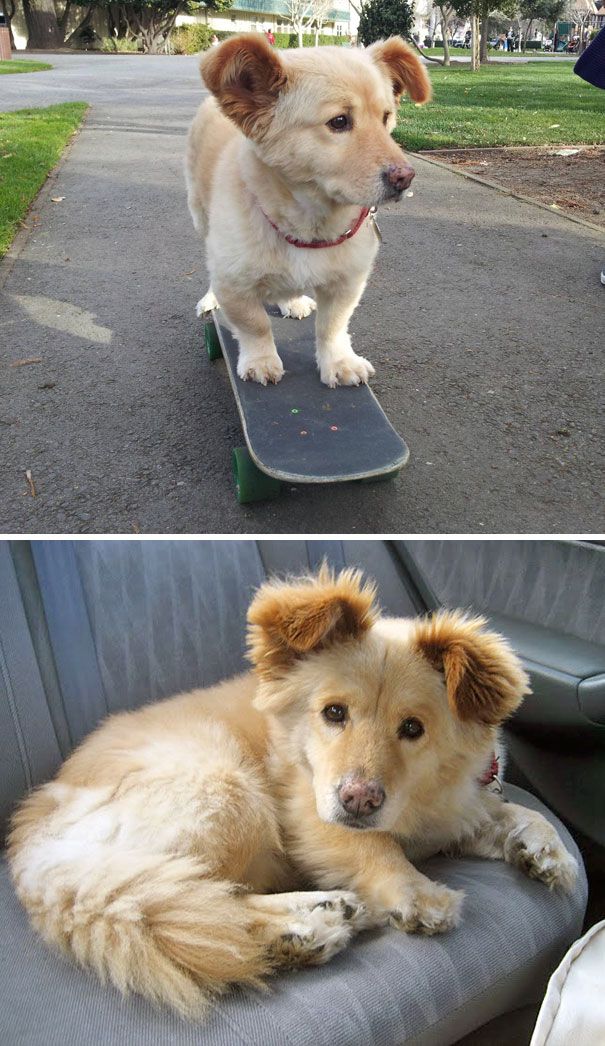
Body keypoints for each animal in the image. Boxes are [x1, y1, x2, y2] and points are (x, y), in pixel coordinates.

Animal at [8, 569, 573, 1016]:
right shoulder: (310, 812)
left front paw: (544, 849)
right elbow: (373, 847)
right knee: (194, 902)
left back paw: (316, 917)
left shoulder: (459, 808)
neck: (416, 800)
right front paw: (417, 893)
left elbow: (514, 813)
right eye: (334, 713)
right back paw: (304, 929)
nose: (359, 799)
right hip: (228, 793)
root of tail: (35, 847)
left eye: (413, 728)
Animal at [186, 36, 431, 391]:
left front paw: (339, 362)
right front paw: (261, 359)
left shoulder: (348, 282)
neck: (309, 222)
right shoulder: (233, 283)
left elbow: (332, 326)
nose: (405, 178)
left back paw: (292, 301)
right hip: (200, 215)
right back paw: (211, 299)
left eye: (386, 117)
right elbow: (254, 324)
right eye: (339, 121)